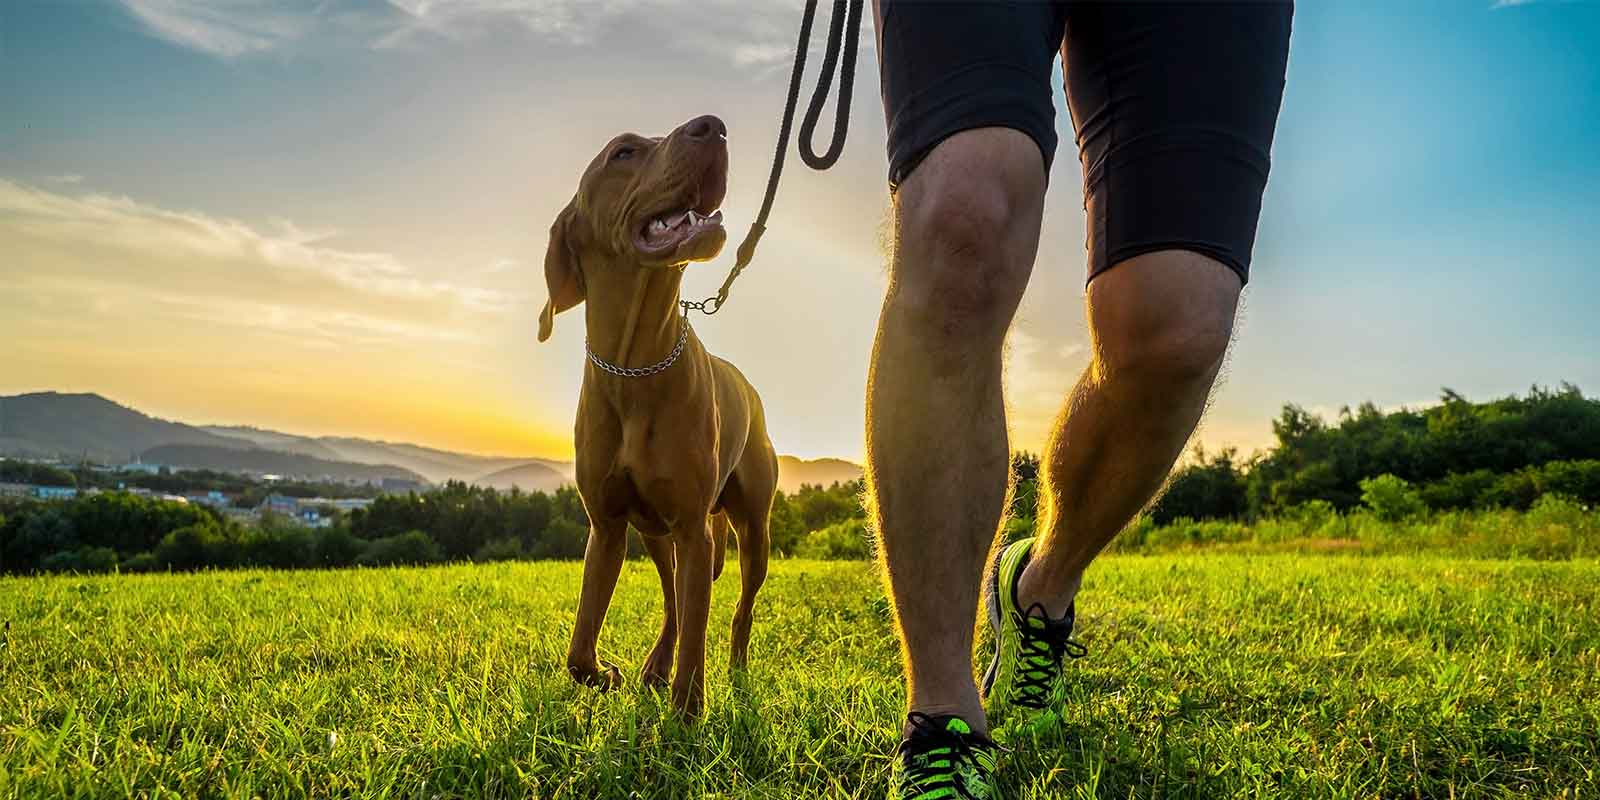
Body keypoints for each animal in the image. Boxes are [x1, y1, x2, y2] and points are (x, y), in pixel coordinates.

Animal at [540, 111, 777, 713]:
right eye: (623, 152)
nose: (713, 126)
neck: (635, 365)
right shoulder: (606, 527)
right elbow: (578, 650)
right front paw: (606, 674)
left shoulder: (694, 526)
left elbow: (698, 637)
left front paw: (688, 710)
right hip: (654, 533)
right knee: (674, 599)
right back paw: (654, 665)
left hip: (751, 530)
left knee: (736, 609)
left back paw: (736, 669)